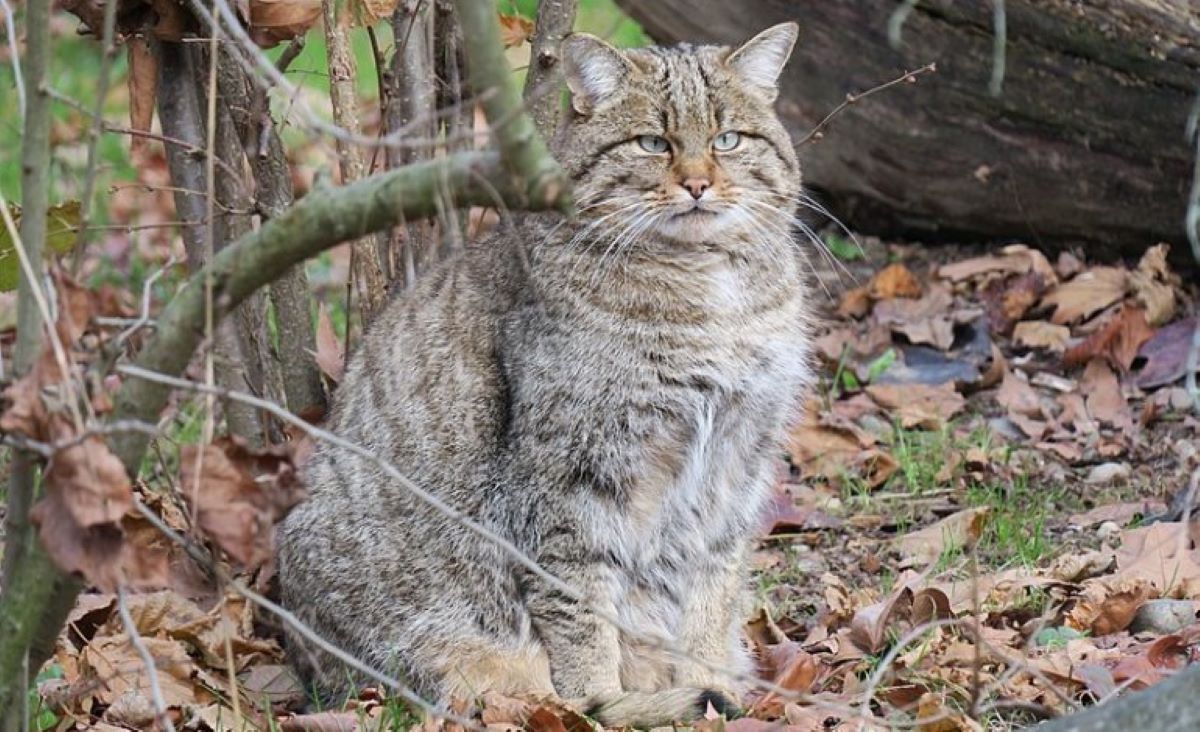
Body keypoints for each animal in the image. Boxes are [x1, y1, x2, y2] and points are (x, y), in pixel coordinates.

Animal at [276, 21, 811, 724]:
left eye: (727, 139)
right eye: (653, 142)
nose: (698, 184)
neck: (709, 294)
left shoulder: (736, 457)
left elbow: (711, 588)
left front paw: (709, 675)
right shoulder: (571, 476)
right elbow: (579, 603)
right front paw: (597, 695)